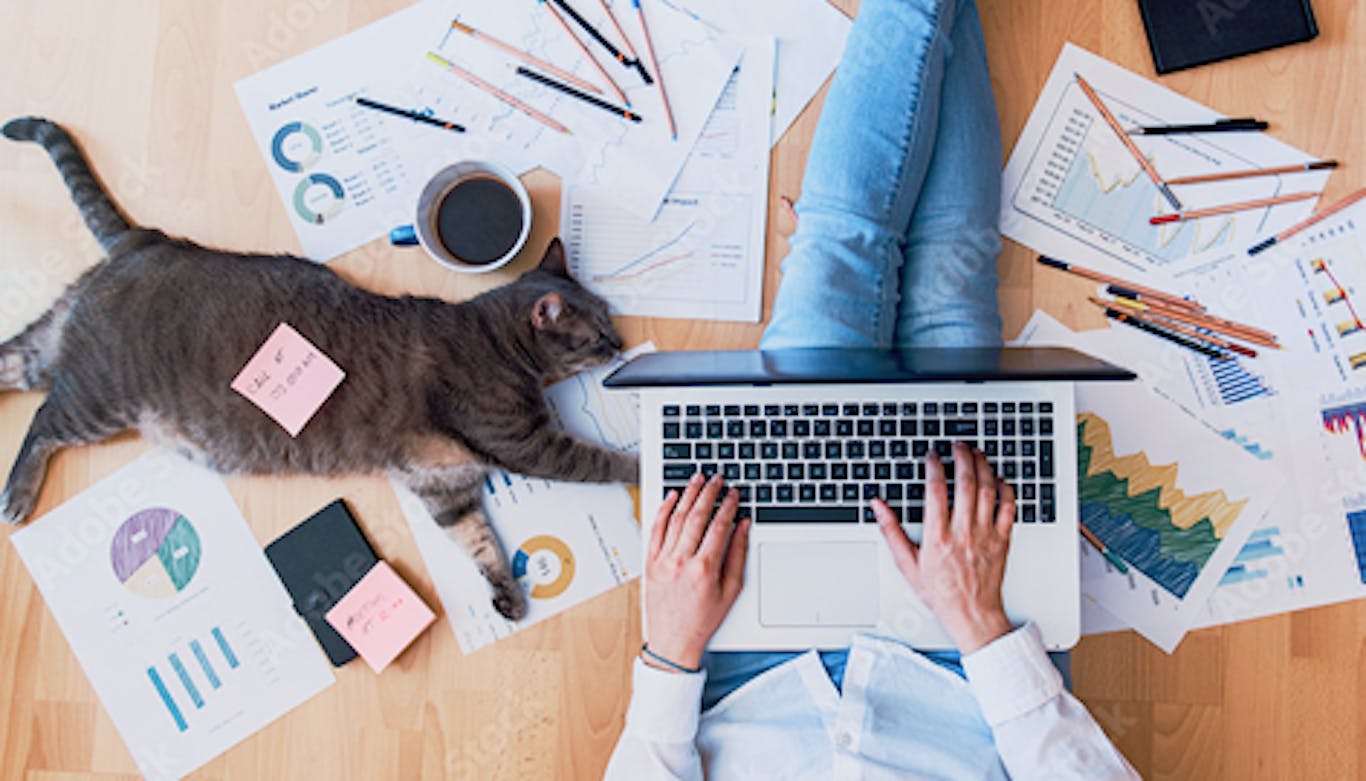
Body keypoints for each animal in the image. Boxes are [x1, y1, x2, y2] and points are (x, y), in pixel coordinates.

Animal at [0, 116, 639, 619]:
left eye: (610, 322)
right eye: (597, 333)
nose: (622, 340)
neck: (496, 340)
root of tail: (146, 240)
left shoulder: (443, 486)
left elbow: (478, 542)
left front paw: (504, 593)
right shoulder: (524, 442)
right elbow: (597, 461)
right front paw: (639, 467)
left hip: (48, 347)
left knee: (11, 360)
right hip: (98, 396)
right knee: (44, 419)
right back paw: (15, 497)